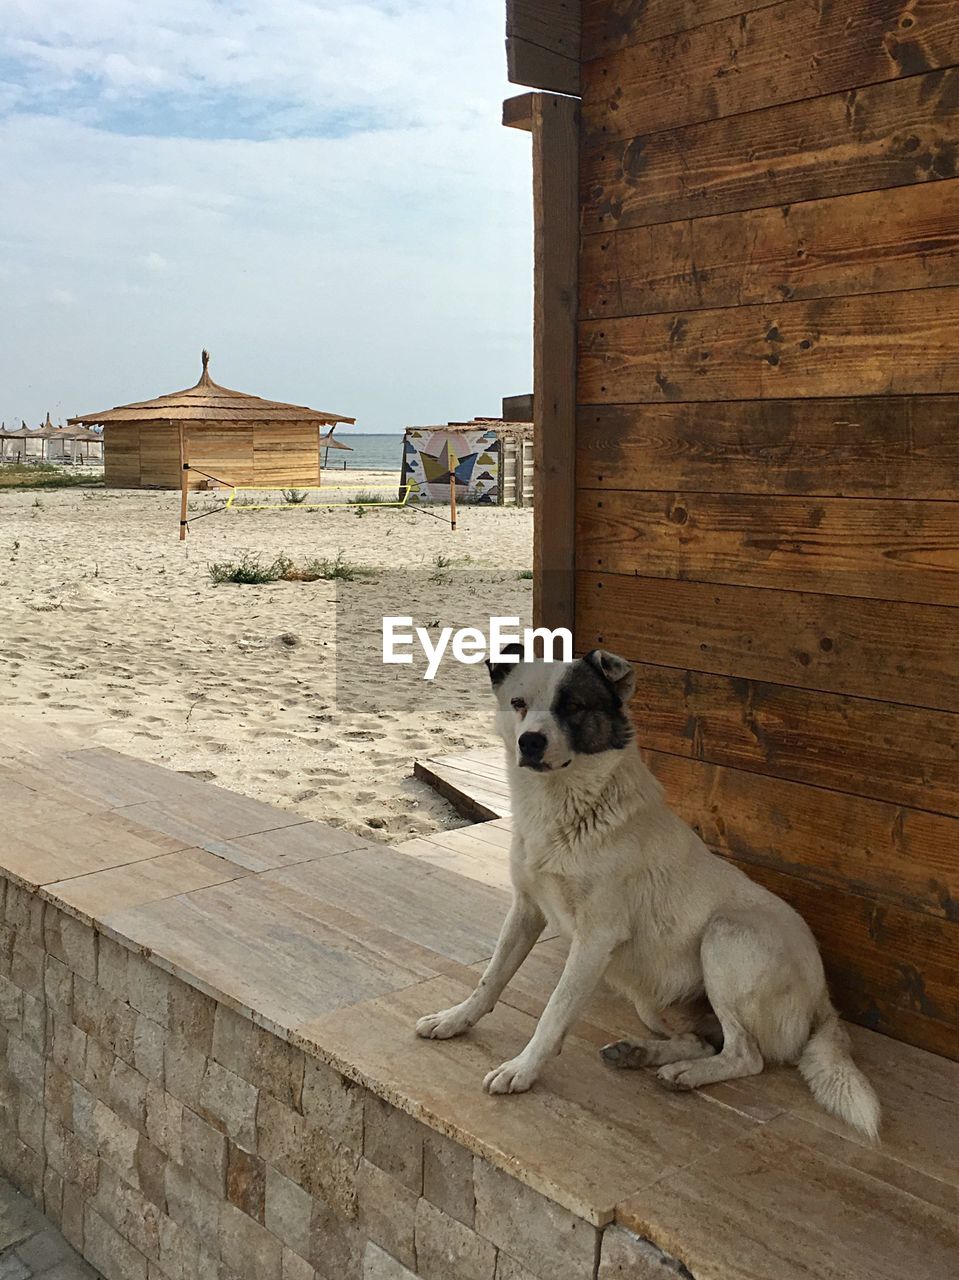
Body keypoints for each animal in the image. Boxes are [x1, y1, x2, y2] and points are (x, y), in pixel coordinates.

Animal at [414, 650, 880, 1141]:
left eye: (573, 706)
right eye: (518, 702)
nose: (530, 743)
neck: (566, 810)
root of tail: (824, 998)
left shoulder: (594, 941)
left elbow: (554, 1011)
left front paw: (522, 1068)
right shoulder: (526, 908)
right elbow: (490, 978)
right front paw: (454, 1020)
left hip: (725, 938)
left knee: (746, 1055)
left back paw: (687, 1074)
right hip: (653, 1002)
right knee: (701, 1039)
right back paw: (643, 1055)